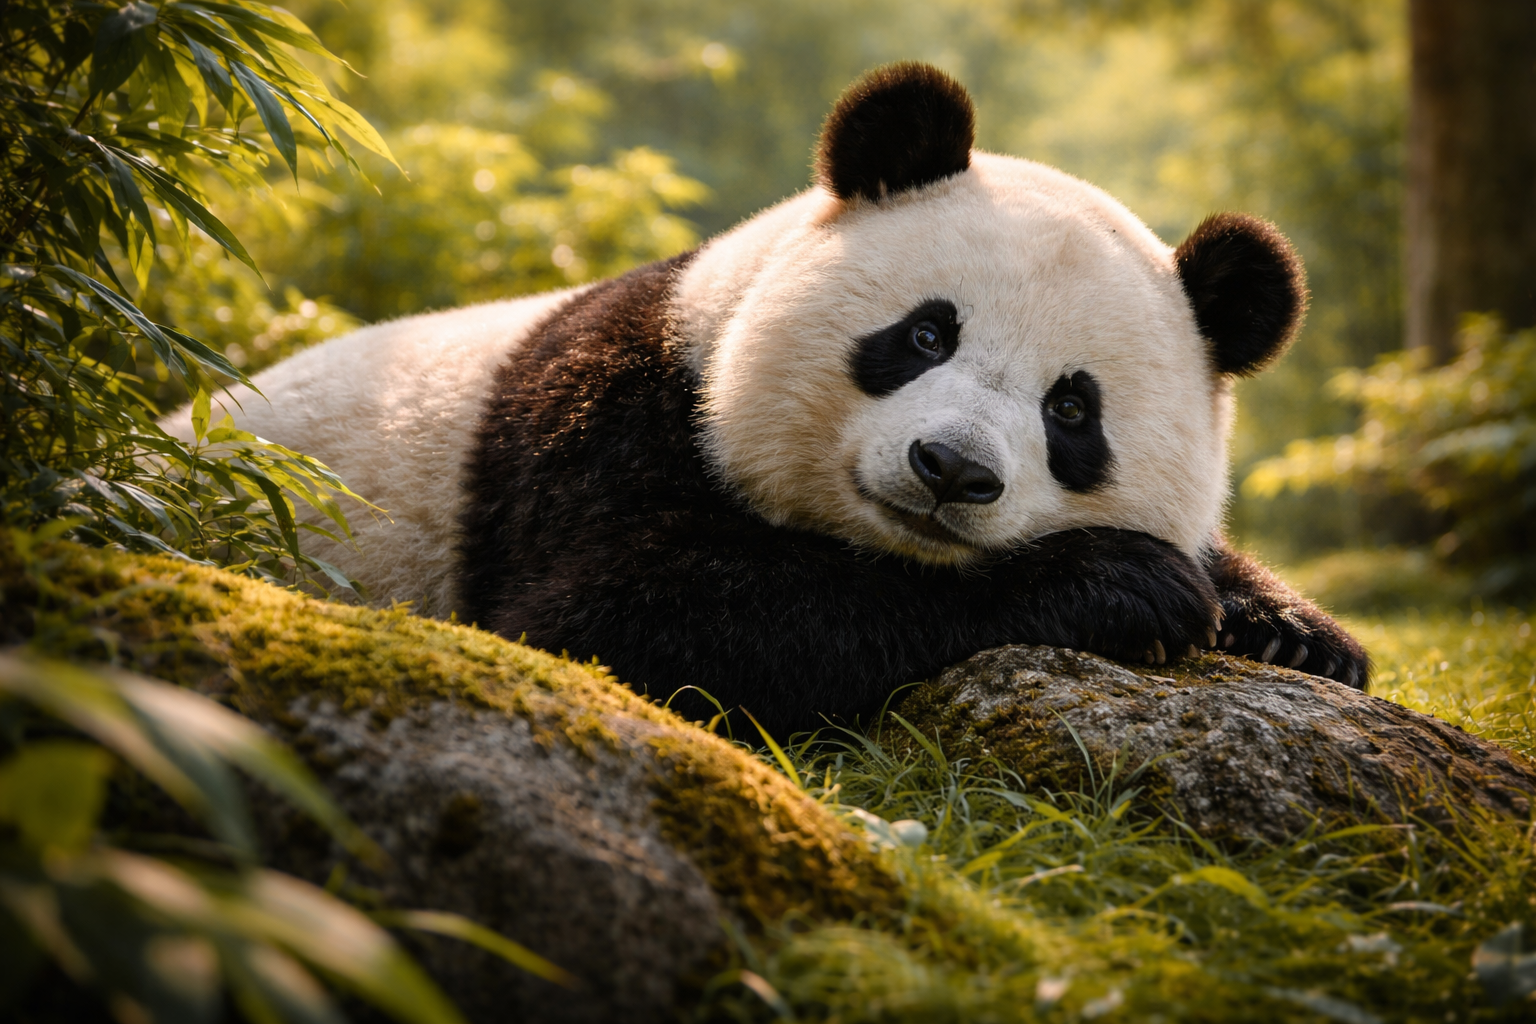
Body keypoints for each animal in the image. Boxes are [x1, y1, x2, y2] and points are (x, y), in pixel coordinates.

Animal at [171, 63, 1368, 737]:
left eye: (1072, 411)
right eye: (924, 335)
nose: (952, 471)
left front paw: (1296, 634)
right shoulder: (608, 422)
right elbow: (620, 627)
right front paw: (1128, 585)